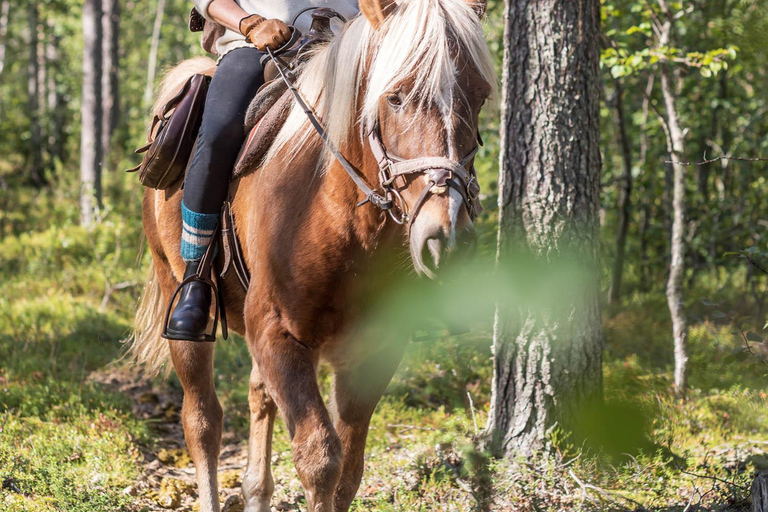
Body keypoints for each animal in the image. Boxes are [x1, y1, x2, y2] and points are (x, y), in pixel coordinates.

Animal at [129, 0, 496, 510]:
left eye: (479, 97)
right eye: (395, 97)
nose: (445, 236)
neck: (339, 213)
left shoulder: (376, 347)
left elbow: (349, 470)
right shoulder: (278, 333)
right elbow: (320, 458)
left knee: (257, 396)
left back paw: (257, 490)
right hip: (177, 297)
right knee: (202, 419)